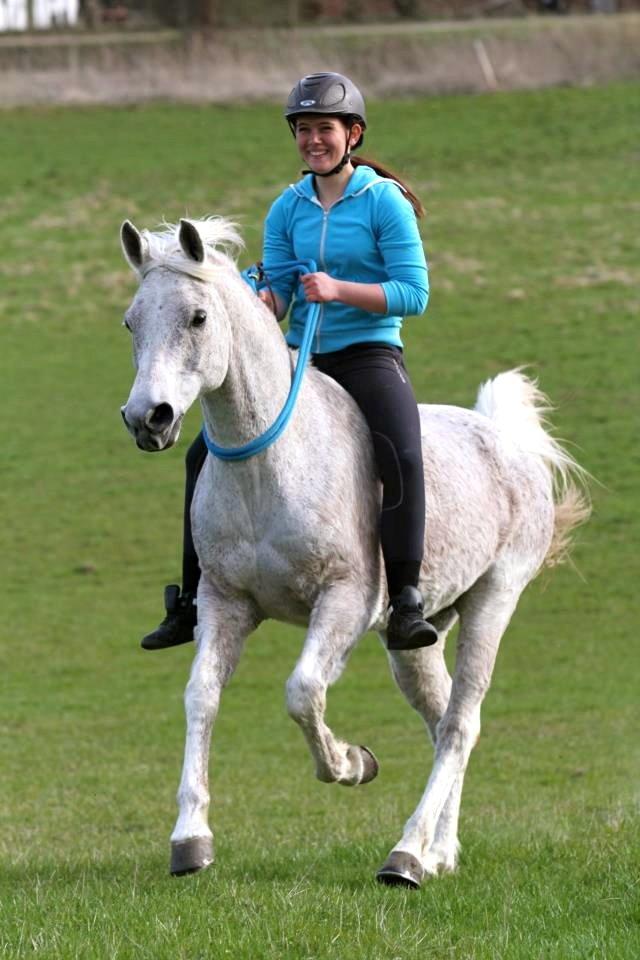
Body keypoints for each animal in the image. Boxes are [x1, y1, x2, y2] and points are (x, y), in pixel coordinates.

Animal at [120, 216, 592, 884]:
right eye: (131, 321)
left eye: (197, 317)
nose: (148, 419)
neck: (269, 466)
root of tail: (507, 440)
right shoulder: (224, 602)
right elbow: (201, 697)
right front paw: (191, 840)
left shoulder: (344, 601)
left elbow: (303, 691)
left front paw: (351, 762)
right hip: (416, 638)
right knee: (442, 718)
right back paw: (440, 851)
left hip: (493, 603)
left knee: (461, 723)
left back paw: (407, 856)